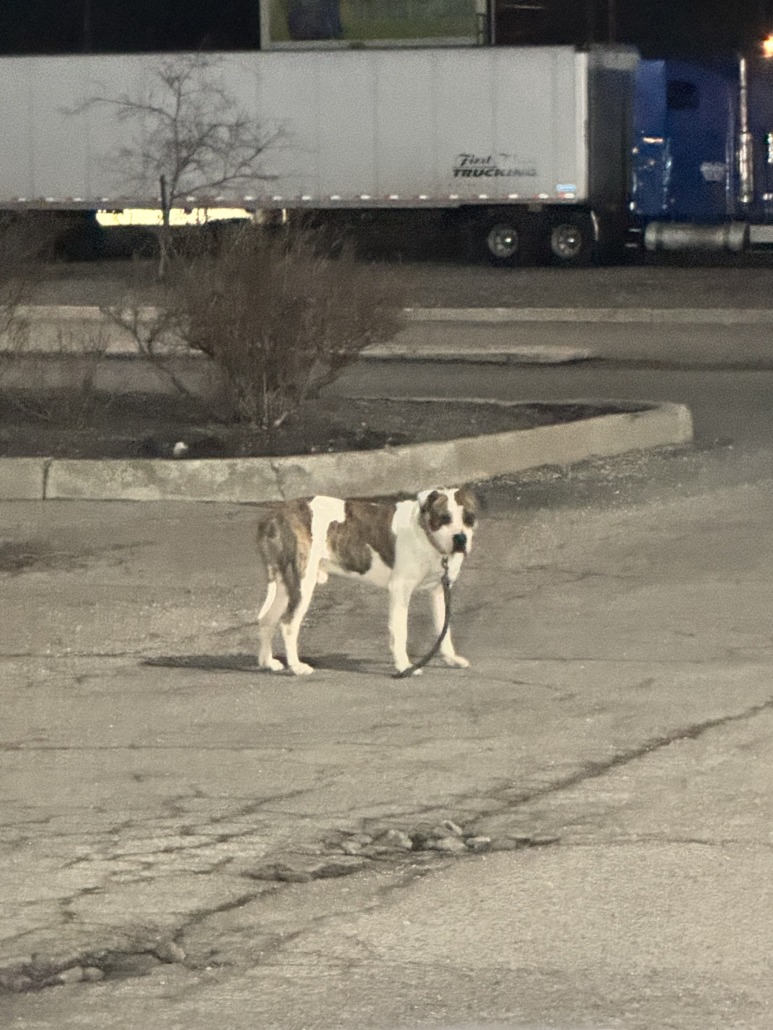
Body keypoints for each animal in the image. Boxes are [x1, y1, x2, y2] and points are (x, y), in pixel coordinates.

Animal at [255, 487, 477, 676]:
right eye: (444, 518)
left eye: (468, 518)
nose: (460, 538)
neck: (425, 533)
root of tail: (274, 516)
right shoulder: (400, 590)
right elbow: (399, 631)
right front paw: (404, 666)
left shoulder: (439, 591)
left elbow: (443, 629)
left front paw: (451, 659)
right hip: (302, 583)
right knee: (288, 624)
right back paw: (296, 667)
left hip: (285, 586)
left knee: (268, 619)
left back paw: (268, 662)